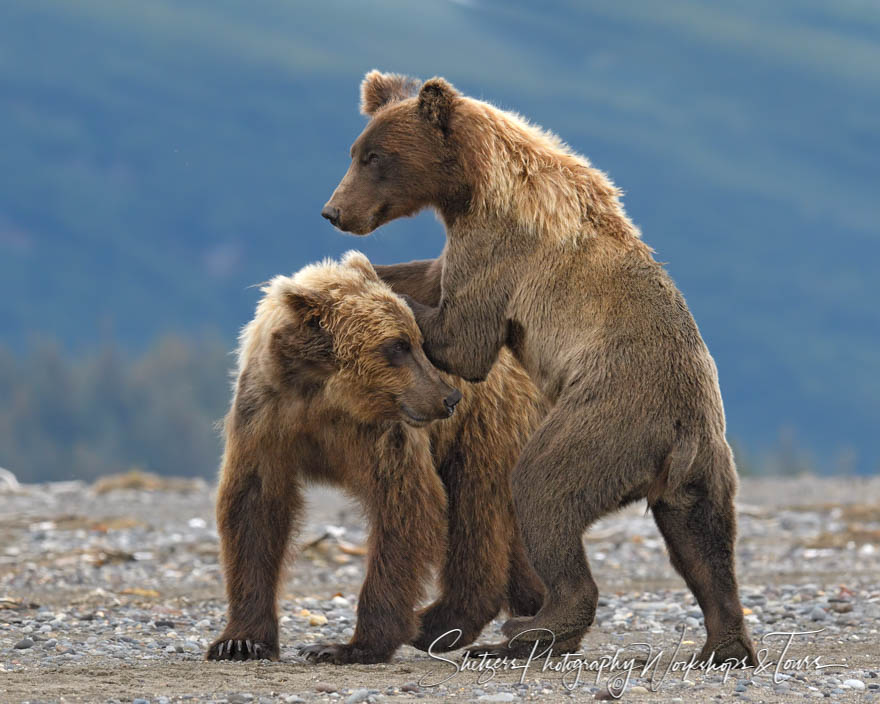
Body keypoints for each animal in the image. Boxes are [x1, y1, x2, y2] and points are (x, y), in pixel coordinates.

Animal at [208, 250, 552, 664]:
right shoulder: (266, 416)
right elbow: (254, 510)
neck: (324, 394)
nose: (449, 397)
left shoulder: (385, 434)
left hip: (485, 426)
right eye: (397, 345)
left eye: (416, 341)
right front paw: (240, 641)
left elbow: (403, 506)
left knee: (474, 512)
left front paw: (345, 646)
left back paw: (440, 622)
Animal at [322, 71, 756, 664]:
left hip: (605, 418)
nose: (334, 212)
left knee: (543, 490)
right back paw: (723, 644)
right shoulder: (463, 247)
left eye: (374, 157)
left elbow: (463, 338)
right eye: (356, 151)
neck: (473, 188)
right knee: (703, 543)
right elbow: (429, 276)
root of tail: (681, 431)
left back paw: (529, 631)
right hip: (702, 467)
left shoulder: (500, 252)